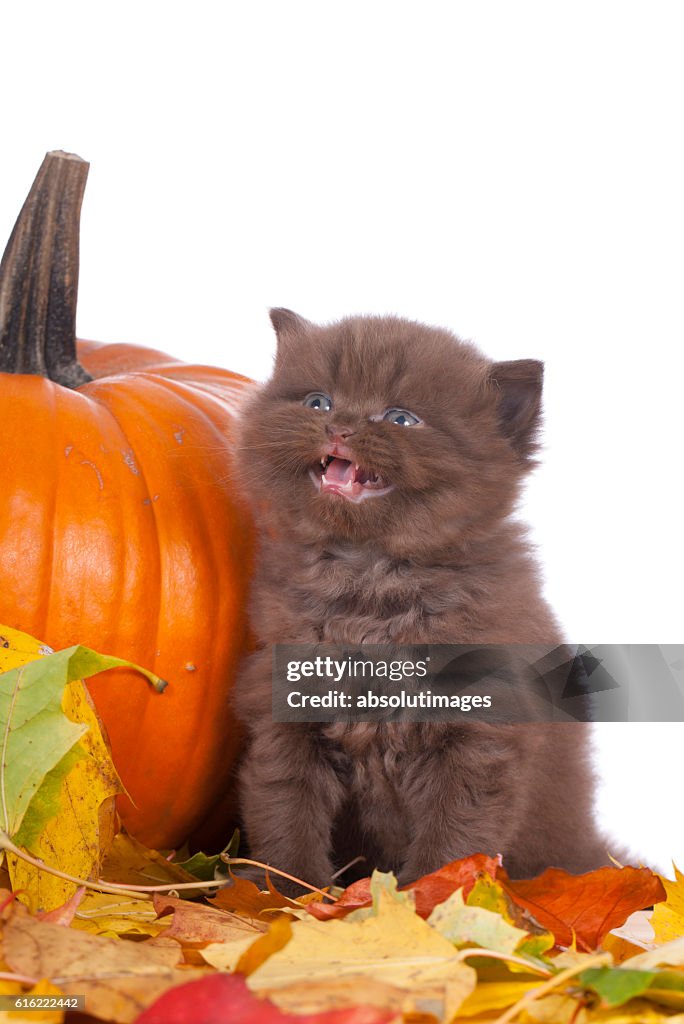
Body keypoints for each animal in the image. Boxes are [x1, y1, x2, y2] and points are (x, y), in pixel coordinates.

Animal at [232, 307, 606, 892]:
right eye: (318, 402)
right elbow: (284, 813)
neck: (369, 581)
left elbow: (456, 836)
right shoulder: (284, 712)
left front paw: (433, 899)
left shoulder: (479, 733)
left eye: (401, 419)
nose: (339, 427)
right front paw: (287, 895)